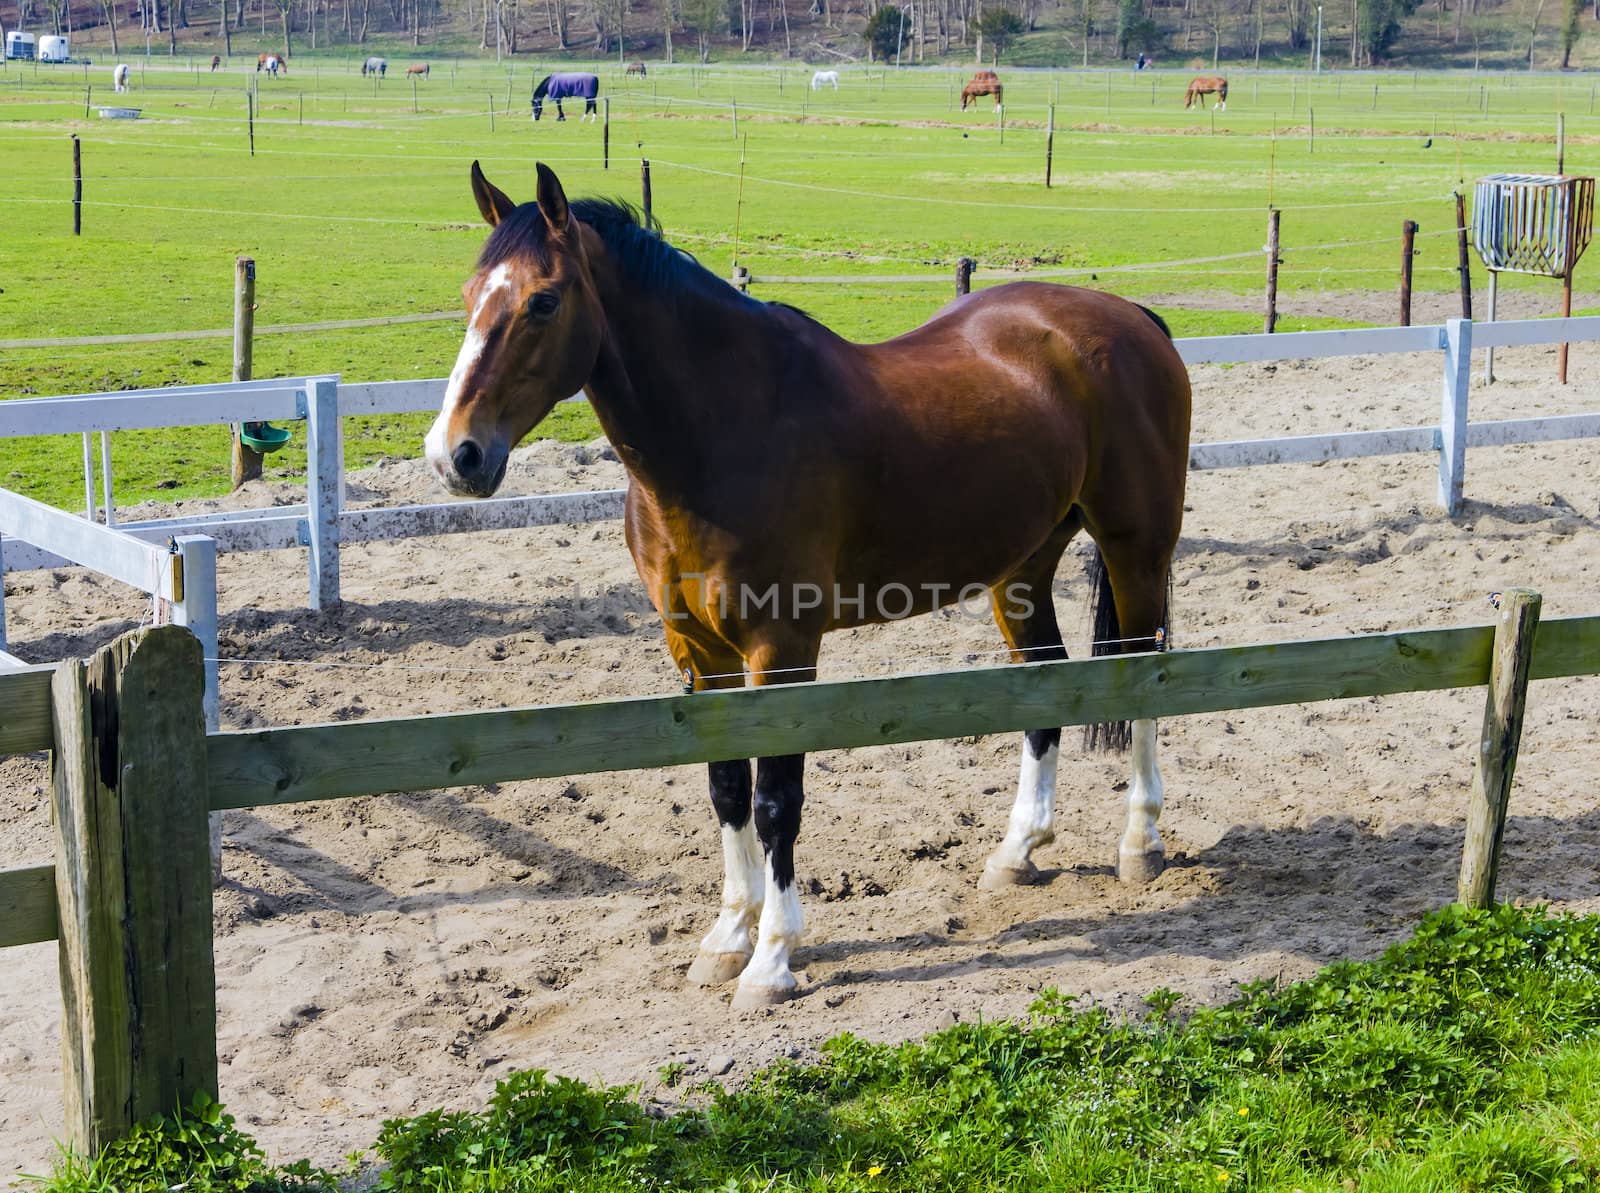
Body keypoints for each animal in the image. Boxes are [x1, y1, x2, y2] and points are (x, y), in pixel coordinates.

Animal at [425, 162, 1190, 1010]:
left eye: (544, 300)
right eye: (469, 294)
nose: (455, 454)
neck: (726, 428)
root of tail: (1130, 317)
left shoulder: (780, 648)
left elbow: (775, 803)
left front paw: (771, 958)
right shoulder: (699, 653)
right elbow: (727, 788)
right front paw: (727, 937)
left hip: (1135, 550)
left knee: (1148, 677)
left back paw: (1141, 842)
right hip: (1020, 569)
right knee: (1047, 681)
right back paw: (1017, 851)